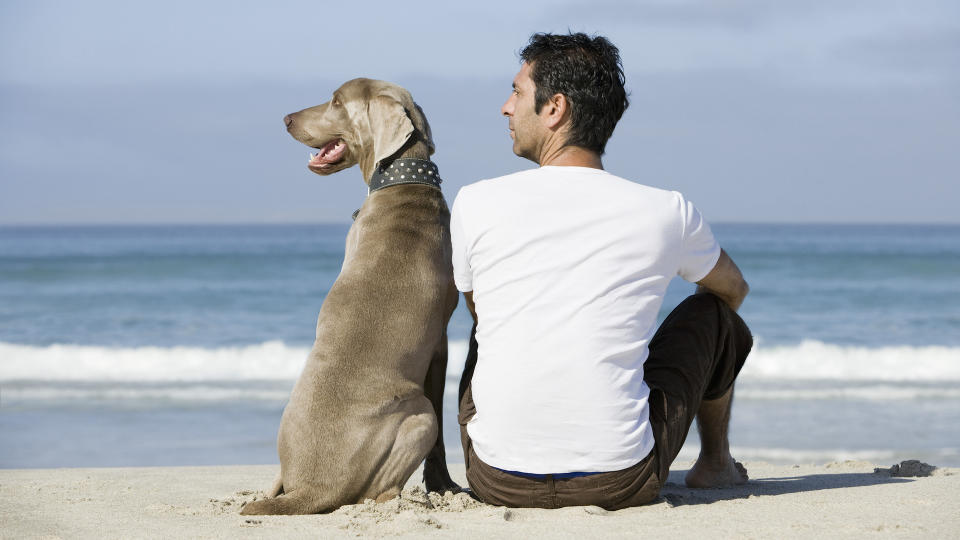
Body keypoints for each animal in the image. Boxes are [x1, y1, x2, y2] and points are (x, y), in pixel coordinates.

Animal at [244, 77, 462, 516]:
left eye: (336, 102)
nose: (286, 118)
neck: (404, 181)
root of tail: (311, 488)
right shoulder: (441, 343)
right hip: (421, 416)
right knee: (377, 493)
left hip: (418, 417)